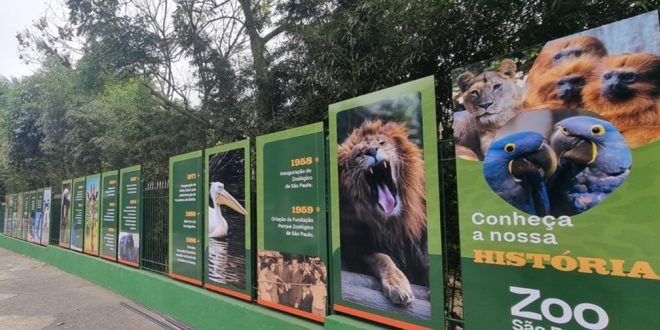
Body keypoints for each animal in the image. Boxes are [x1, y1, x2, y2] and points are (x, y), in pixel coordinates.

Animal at [338, 118, 426, 304]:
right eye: (358, 154)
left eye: (381, 143)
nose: (371, 151)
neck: (393, 223)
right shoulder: (356, 251)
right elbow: (382, 257)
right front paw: (397, 285)